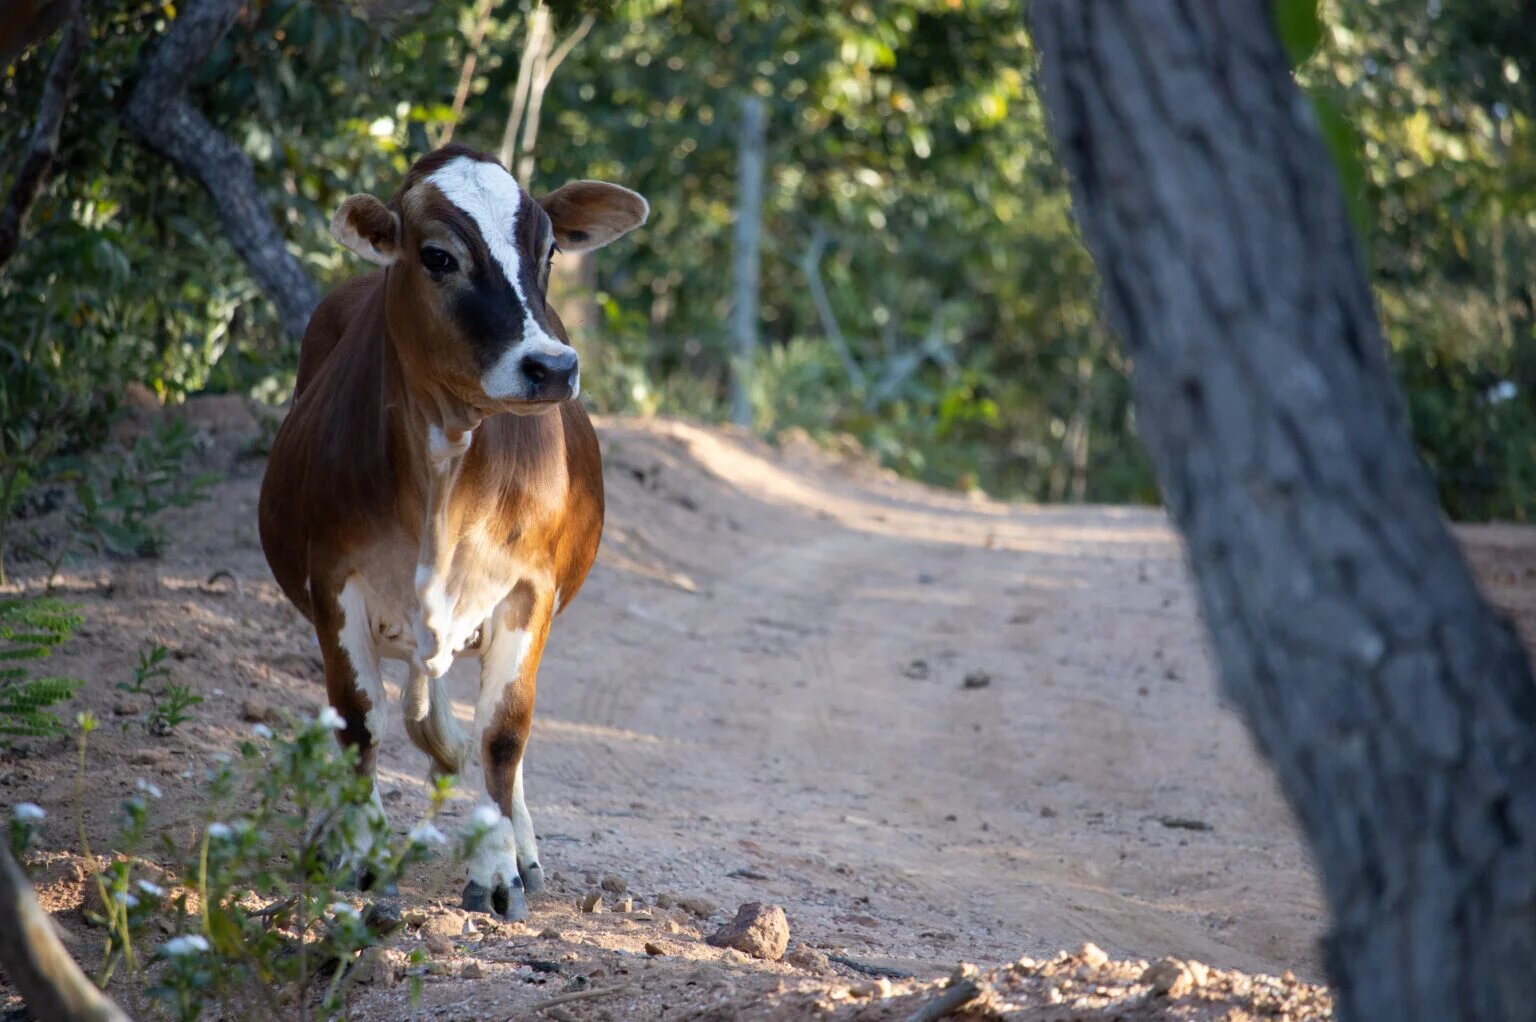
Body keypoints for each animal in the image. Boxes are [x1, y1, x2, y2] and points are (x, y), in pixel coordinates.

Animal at [261, 141, 645, 915]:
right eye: (438, 256)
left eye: (549, 251)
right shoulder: (334, 580)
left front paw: (498, 870)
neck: (444, 471)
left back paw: (522, 847)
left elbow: (503, 733)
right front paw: (358, 850)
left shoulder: (530, 590)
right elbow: (360, 720)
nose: (551, 367)